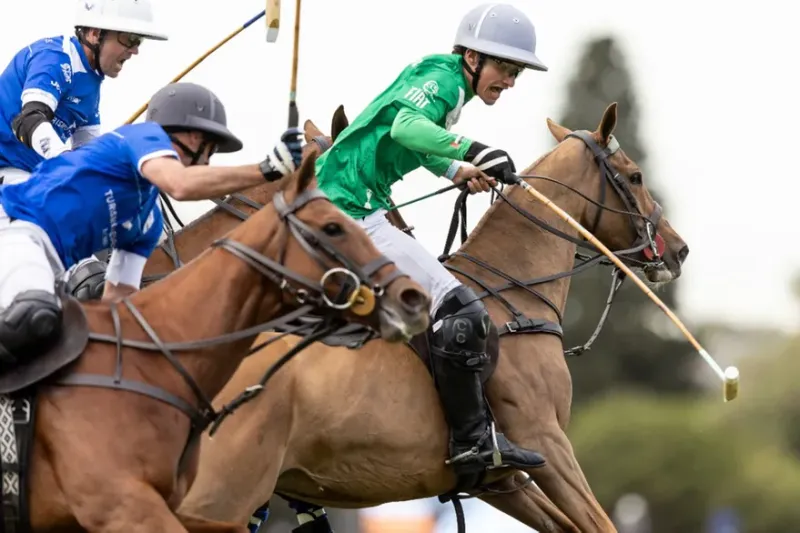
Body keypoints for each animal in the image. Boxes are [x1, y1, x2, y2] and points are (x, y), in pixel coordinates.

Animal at [178, 101, 692, 532]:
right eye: (636, 175)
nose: (679, 249)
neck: (515, 298)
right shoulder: (545, 439)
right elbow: (599, 524)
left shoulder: (504, 481)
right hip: (222, 495)